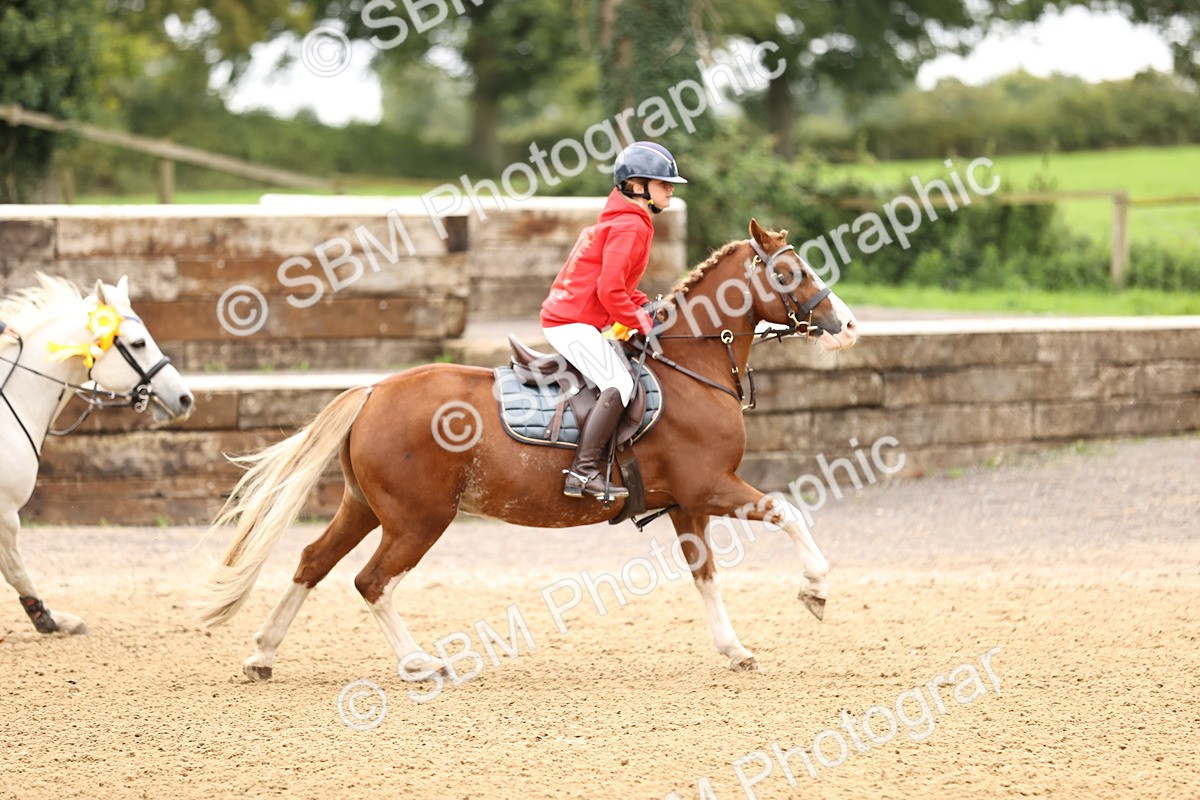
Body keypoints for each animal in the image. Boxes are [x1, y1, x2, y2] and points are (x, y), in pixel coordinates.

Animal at [199, 220, 858, 679]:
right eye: (788, 274)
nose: (848, 326)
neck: (688, 367)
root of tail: (375, 390)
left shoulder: (686, 504)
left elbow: (705, 575)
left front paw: (734, 648)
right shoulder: (711, 488)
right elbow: (788, 512)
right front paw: (816, 590)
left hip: (364, 507)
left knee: (313, 562)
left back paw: (262, 655)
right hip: (418, 519)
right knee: (372, 581)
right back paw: (417, 663)